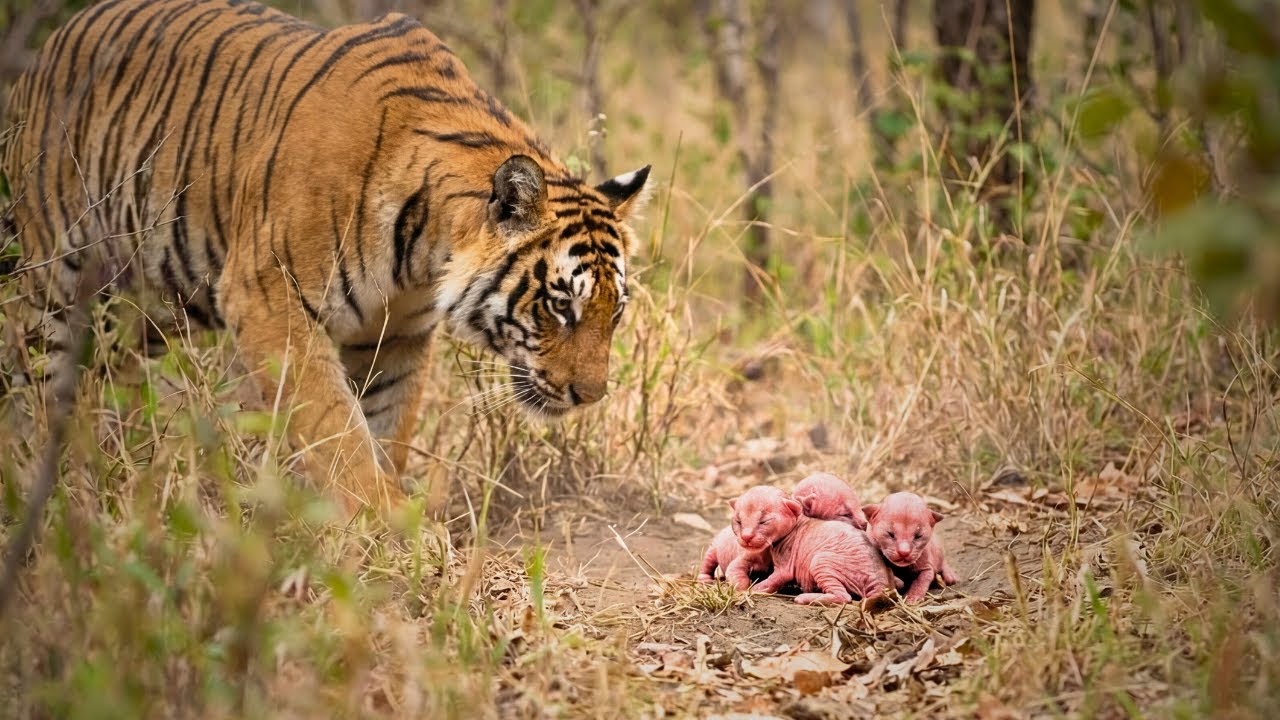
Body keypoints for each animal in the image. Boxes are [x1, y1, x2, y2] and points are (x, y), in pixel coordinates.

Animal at [0, 0, 650, 517]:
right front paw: (387, 527)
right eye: (560, 306)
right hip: (55, 276)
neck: (424, 253)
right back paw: (53, 483)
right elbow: (336, 429)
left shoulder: (396, 335)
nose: (590, 395)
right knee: (36, 378)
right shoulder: (267, 298)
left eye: (614, 313)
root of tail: (51, 43)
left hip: (151, 304)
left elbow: (386, 429)